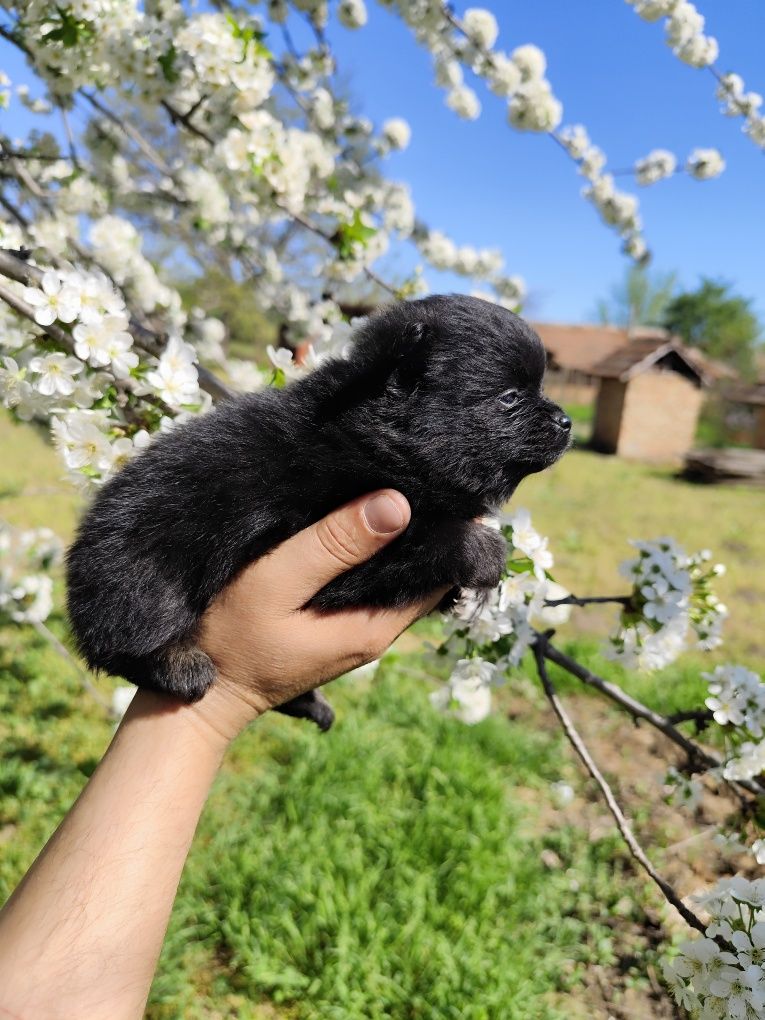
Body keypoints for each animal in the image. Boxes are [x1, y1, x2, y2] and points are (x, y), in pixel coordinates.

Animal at [65, 291, 571, 730]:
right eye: (510, 397)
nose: (567, 421)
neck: (376, 442)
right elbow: (428, 542)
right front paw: (483, 552)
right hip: (142, 573)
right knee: (127, 632)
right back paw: (174, 663)